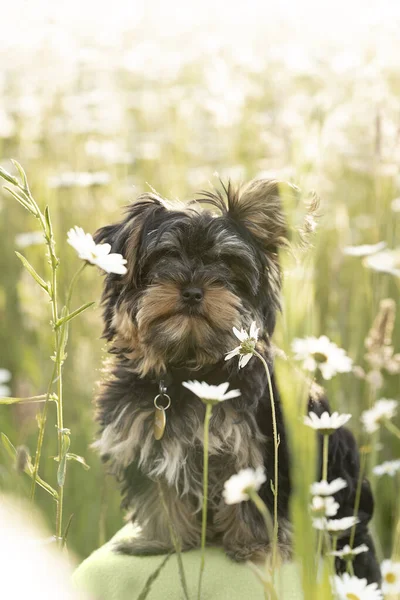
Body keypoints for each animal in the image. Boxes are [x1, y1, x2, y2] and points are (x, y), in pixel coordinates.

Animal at [91, 178, 382, 580]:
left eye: (225, 263)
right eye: (165, 256)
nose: (192, 289)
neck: (186, 370)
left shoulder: (254, 449)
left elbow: (253, 501)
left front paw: (258, 548)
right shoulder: (146, 439)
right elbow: (159, 495)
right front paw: (163, 542)